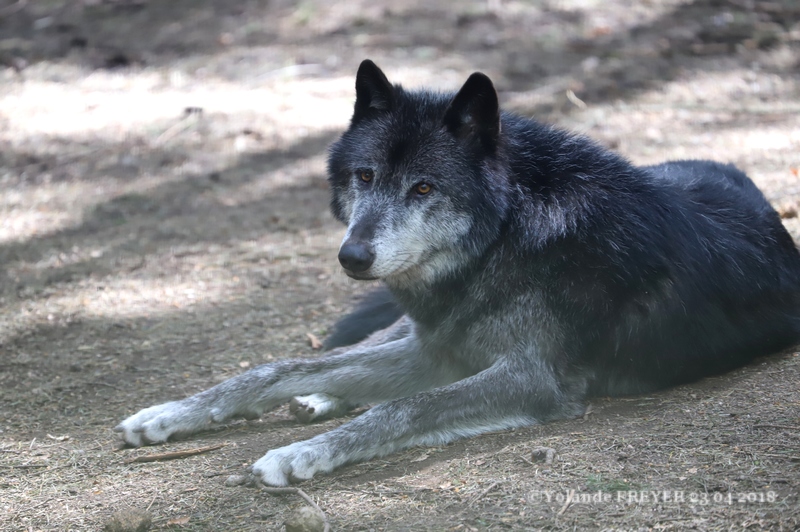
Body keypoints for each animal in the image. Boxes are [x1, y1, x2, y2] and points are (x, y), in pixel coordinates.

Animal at [114, 60, 800, 484]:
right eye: (365, 176)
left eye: (424, 187)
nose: (351, 257)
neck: (509, 236)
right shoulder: (435, 349)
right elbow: (274, 368)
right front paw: (170, 414)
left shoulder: (530, 376)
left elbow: (404, 409)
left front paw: (300, 454)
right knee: (339, 355)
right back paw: (316, 397)